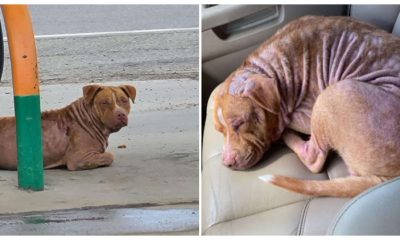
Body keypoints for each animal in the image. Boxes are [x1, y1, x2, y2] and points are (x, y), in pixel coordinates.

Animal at [0, 84, 136, 171]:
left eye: (124, 100)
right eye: (104, 102)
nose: (120, 114)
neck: (89, 119)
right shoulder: (81, 158)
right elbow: (109, 156)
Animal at [214, 16, 400, 197]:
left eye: (239, 123)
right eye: (219, 131)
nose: (227, 162)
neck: (267, 69)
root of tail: (388, 178)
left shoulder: (304, 113)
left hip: (336, 93)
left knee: (313, 157)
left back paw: (287, 136)